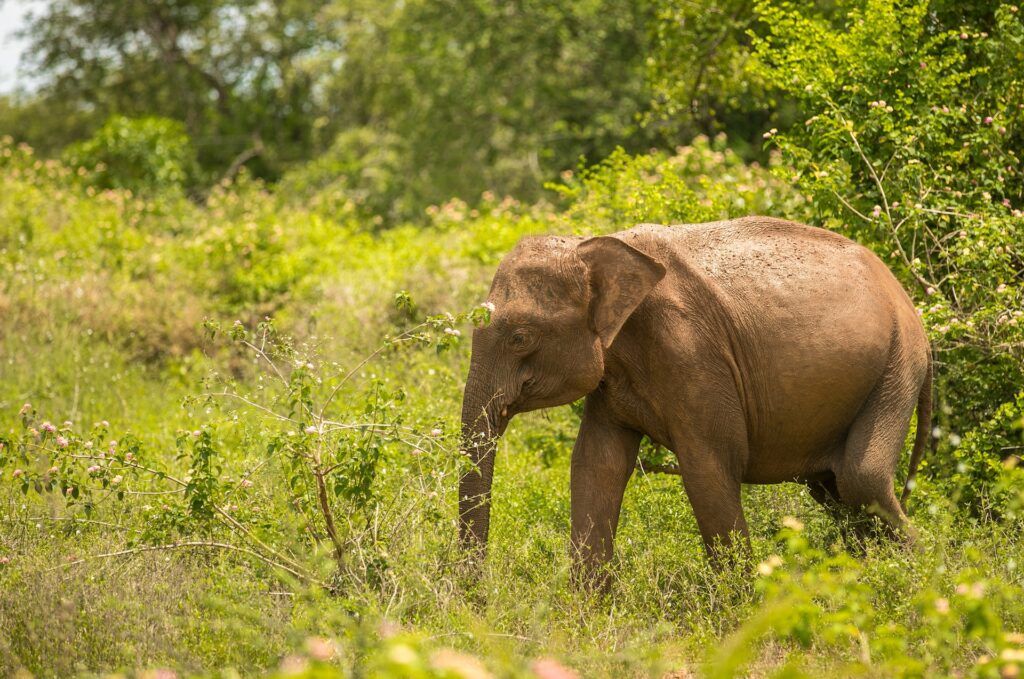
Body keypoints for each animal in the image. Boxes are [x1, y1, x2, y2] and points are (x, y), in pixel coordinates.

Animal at [457, 216, 932, 576]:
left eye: (520, 338)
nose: (476, 596)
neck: (592, 243)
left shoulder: (692, 351)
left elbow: (710, 465)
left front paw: (739, 615)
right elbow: (597, 462)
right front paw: (583, 617)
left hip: (897, 365)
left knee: (860, 478)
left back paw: (920, 577)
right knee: (834, 491)